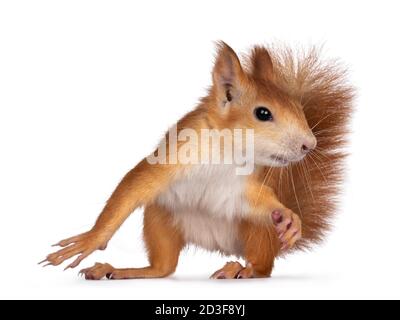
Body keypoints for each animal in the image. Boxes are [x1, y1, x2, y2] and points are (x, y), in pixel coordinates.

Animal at [40, 41, 354, 278]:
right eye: (263, 113)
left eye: (299, 108)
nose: (309, 144)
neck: (228, 151)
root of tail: (214, 243)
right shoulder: (170, 157)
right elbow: (130, 189)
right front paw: (90, 239)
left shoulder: (245, 185)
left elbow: (260, 198)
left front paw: (289, 217)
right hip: (161, 217)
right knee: (163, 267)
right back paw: (120, 270)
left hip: (257, 231)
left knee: (262, 266)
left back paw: (242, 269)